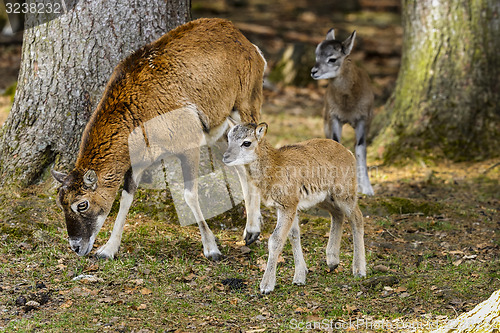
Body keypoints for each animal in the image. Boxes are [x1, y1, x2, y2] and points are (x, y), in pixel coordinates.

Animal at [223, 122, 368, 294]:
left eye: (246, 142)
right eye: (229, 138)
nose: (225, 157)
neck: (275, 167)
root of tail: (349, 153)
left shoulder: (289, 205)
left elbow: (276, 239)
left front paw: (266, 286)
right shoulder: (284, 206)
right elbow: (293, 235)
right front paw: (300, 276)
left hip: (345, 192)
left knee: (357, 217)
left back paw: (359, 270)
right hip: (324, 198)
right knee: (337, 214)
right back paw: (332, 262)